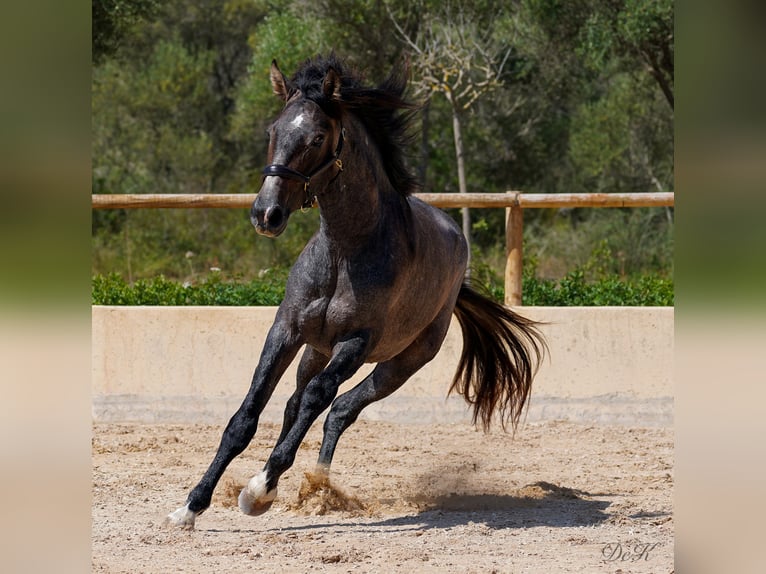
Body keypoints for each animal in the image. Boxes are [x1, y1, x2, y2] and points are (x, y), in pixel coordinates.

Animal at [166, 54, 547, 529]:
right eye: (273, 131)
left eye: (316, 137)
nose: (266, 214)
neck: (344, 251)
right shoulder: (286, 331)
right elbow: (247, 415)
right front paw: (191, 506)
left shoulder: (356, 343)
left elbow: (318, 400)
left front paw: (259, 491)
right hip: (316, 350)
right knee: (298, 405)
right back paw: (311, 485)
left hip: (401, 363)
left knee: (339, 409)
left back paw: (317, 485)